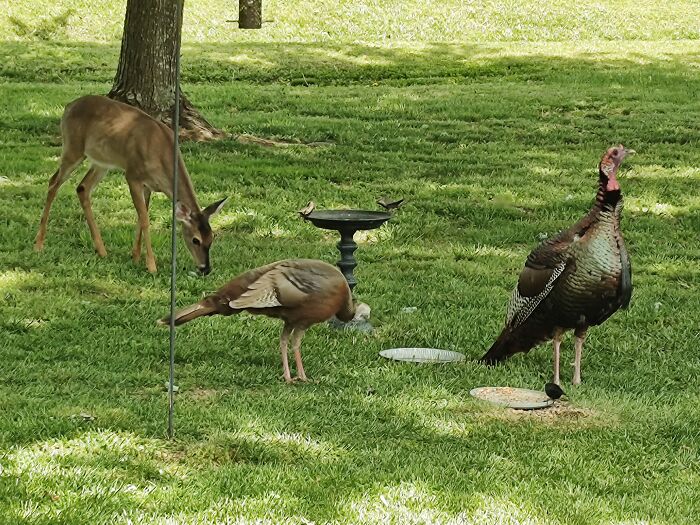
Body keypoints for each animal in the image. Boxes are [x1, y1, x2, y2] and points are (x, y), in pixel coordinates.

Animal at [34, 95, 228, 275]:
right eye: (195, 240)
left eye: (211, 238)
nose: (205, 269)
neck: (162, 152)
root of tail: (68, 106)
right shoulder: (132, 175)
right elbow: (145, 219)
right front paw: (151, 265)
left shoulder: (148, 186)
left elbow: (141, 217)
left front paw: (135, 256)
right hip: (73, 148)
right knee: (53, 183)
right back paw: (39, 244)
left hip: (101, 162)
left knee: (82, 188)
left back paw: (102, 250)